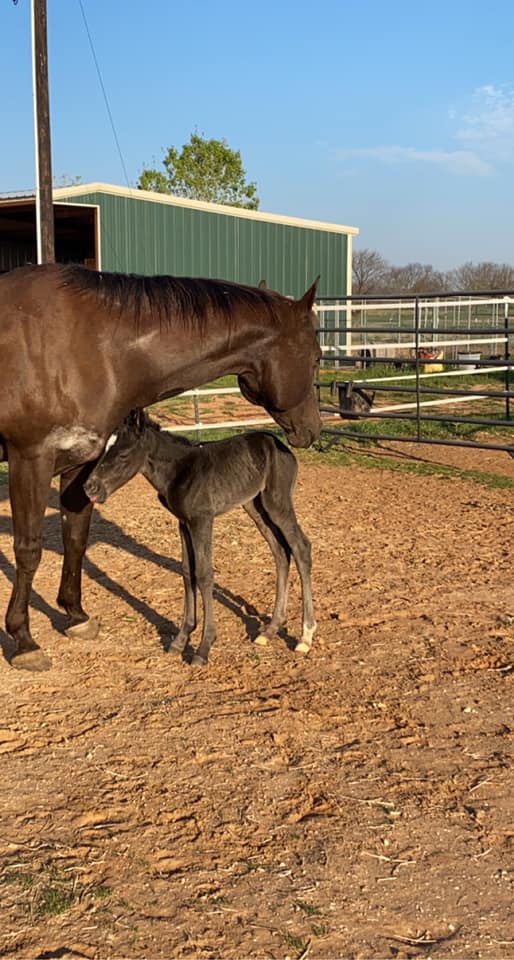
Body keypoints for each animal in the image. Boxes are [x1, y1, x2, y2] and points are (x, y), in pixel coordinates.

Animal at [84, 409, 316, 664]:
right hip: (255, 506)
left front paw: (203, 647)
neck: (180, 472)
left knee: (300, 547)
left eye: (123, 454)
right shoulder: (183, 523)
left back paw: (305, 636)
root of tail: (282, 446)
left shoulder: (202, 520)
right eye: (105, 449)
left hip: (277, 503)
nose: (90, 487)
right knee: (280, 552)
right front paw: (180, 640)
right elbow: (188, 571)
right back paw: (270, 630)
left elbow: (204, 574)